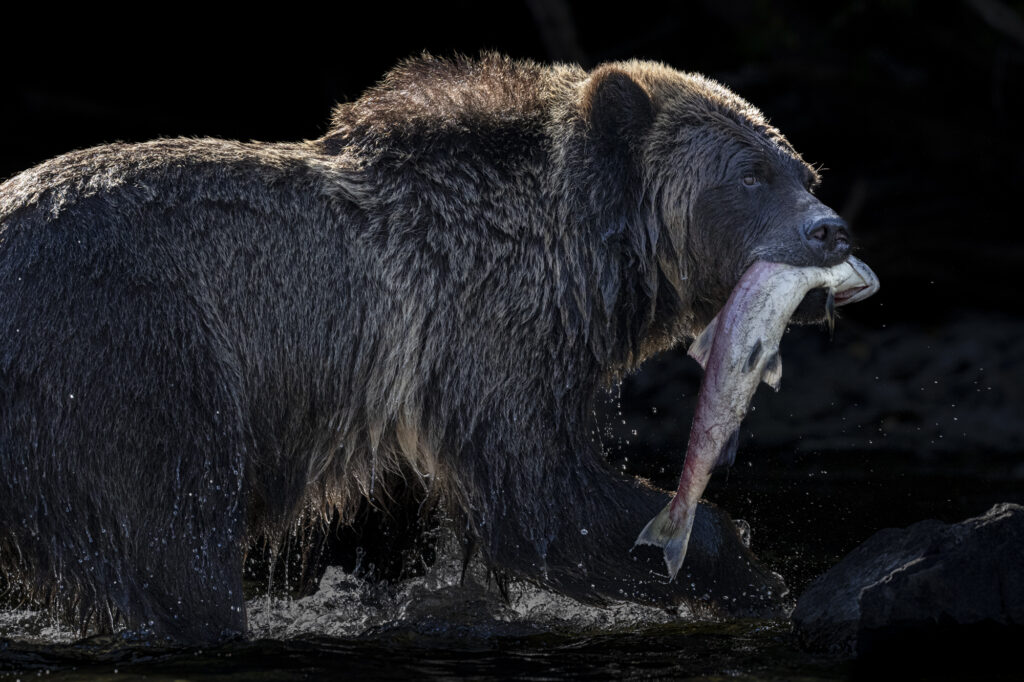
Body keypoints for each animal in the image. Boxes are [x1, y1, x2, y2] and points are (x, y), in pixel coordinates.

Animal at [0, 53, 853, 642]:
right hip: (132, 353)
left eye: (801, 168)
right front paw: (749, 570)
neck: (584, 259)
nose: (831, 229)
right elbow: (540, 492)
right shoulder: (485, 328)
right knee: (176, 533)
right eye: (749, 174)